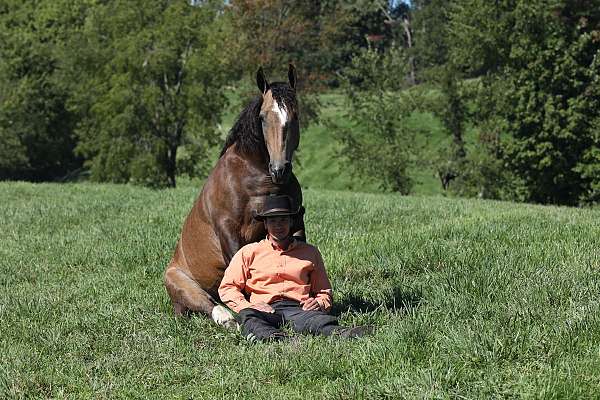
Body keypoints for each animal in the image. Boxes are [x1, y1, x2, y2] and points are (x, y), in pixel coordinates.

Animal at [163, 65, 304, 328]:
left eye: (295, 116)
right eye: (263, 117)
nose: (279, 170)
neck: (253, 174)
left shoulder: (296, 220)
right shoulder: (227, 229)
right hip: (182, 285)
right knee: (208, 303)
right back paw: (226, 318)